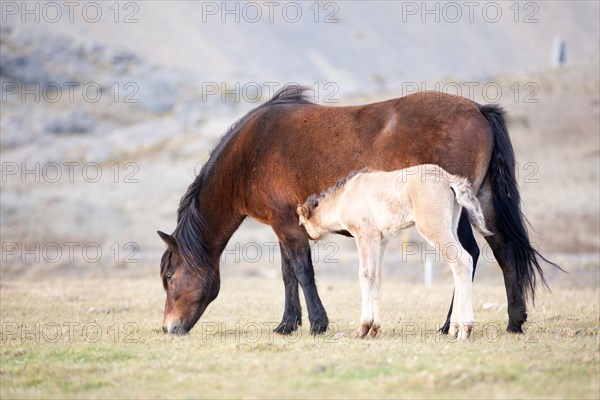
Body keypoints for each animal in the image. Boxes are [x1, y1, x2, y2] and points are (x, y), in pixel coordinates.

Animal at [298, 164, 490, 340]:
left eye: (302, 222)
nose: (308, 236)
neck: (345, 196)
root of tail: (447, 178)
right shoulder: (382, 239)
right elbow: (377, 276)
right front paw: (374, 329)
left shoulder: (365, 235)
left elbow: (366, 275)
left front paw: (363, 328)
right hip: (450, 226)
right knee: (457, 267)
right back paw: (453, 330)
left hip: (433, 229)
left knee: (463, 261)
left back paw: (465, 331)